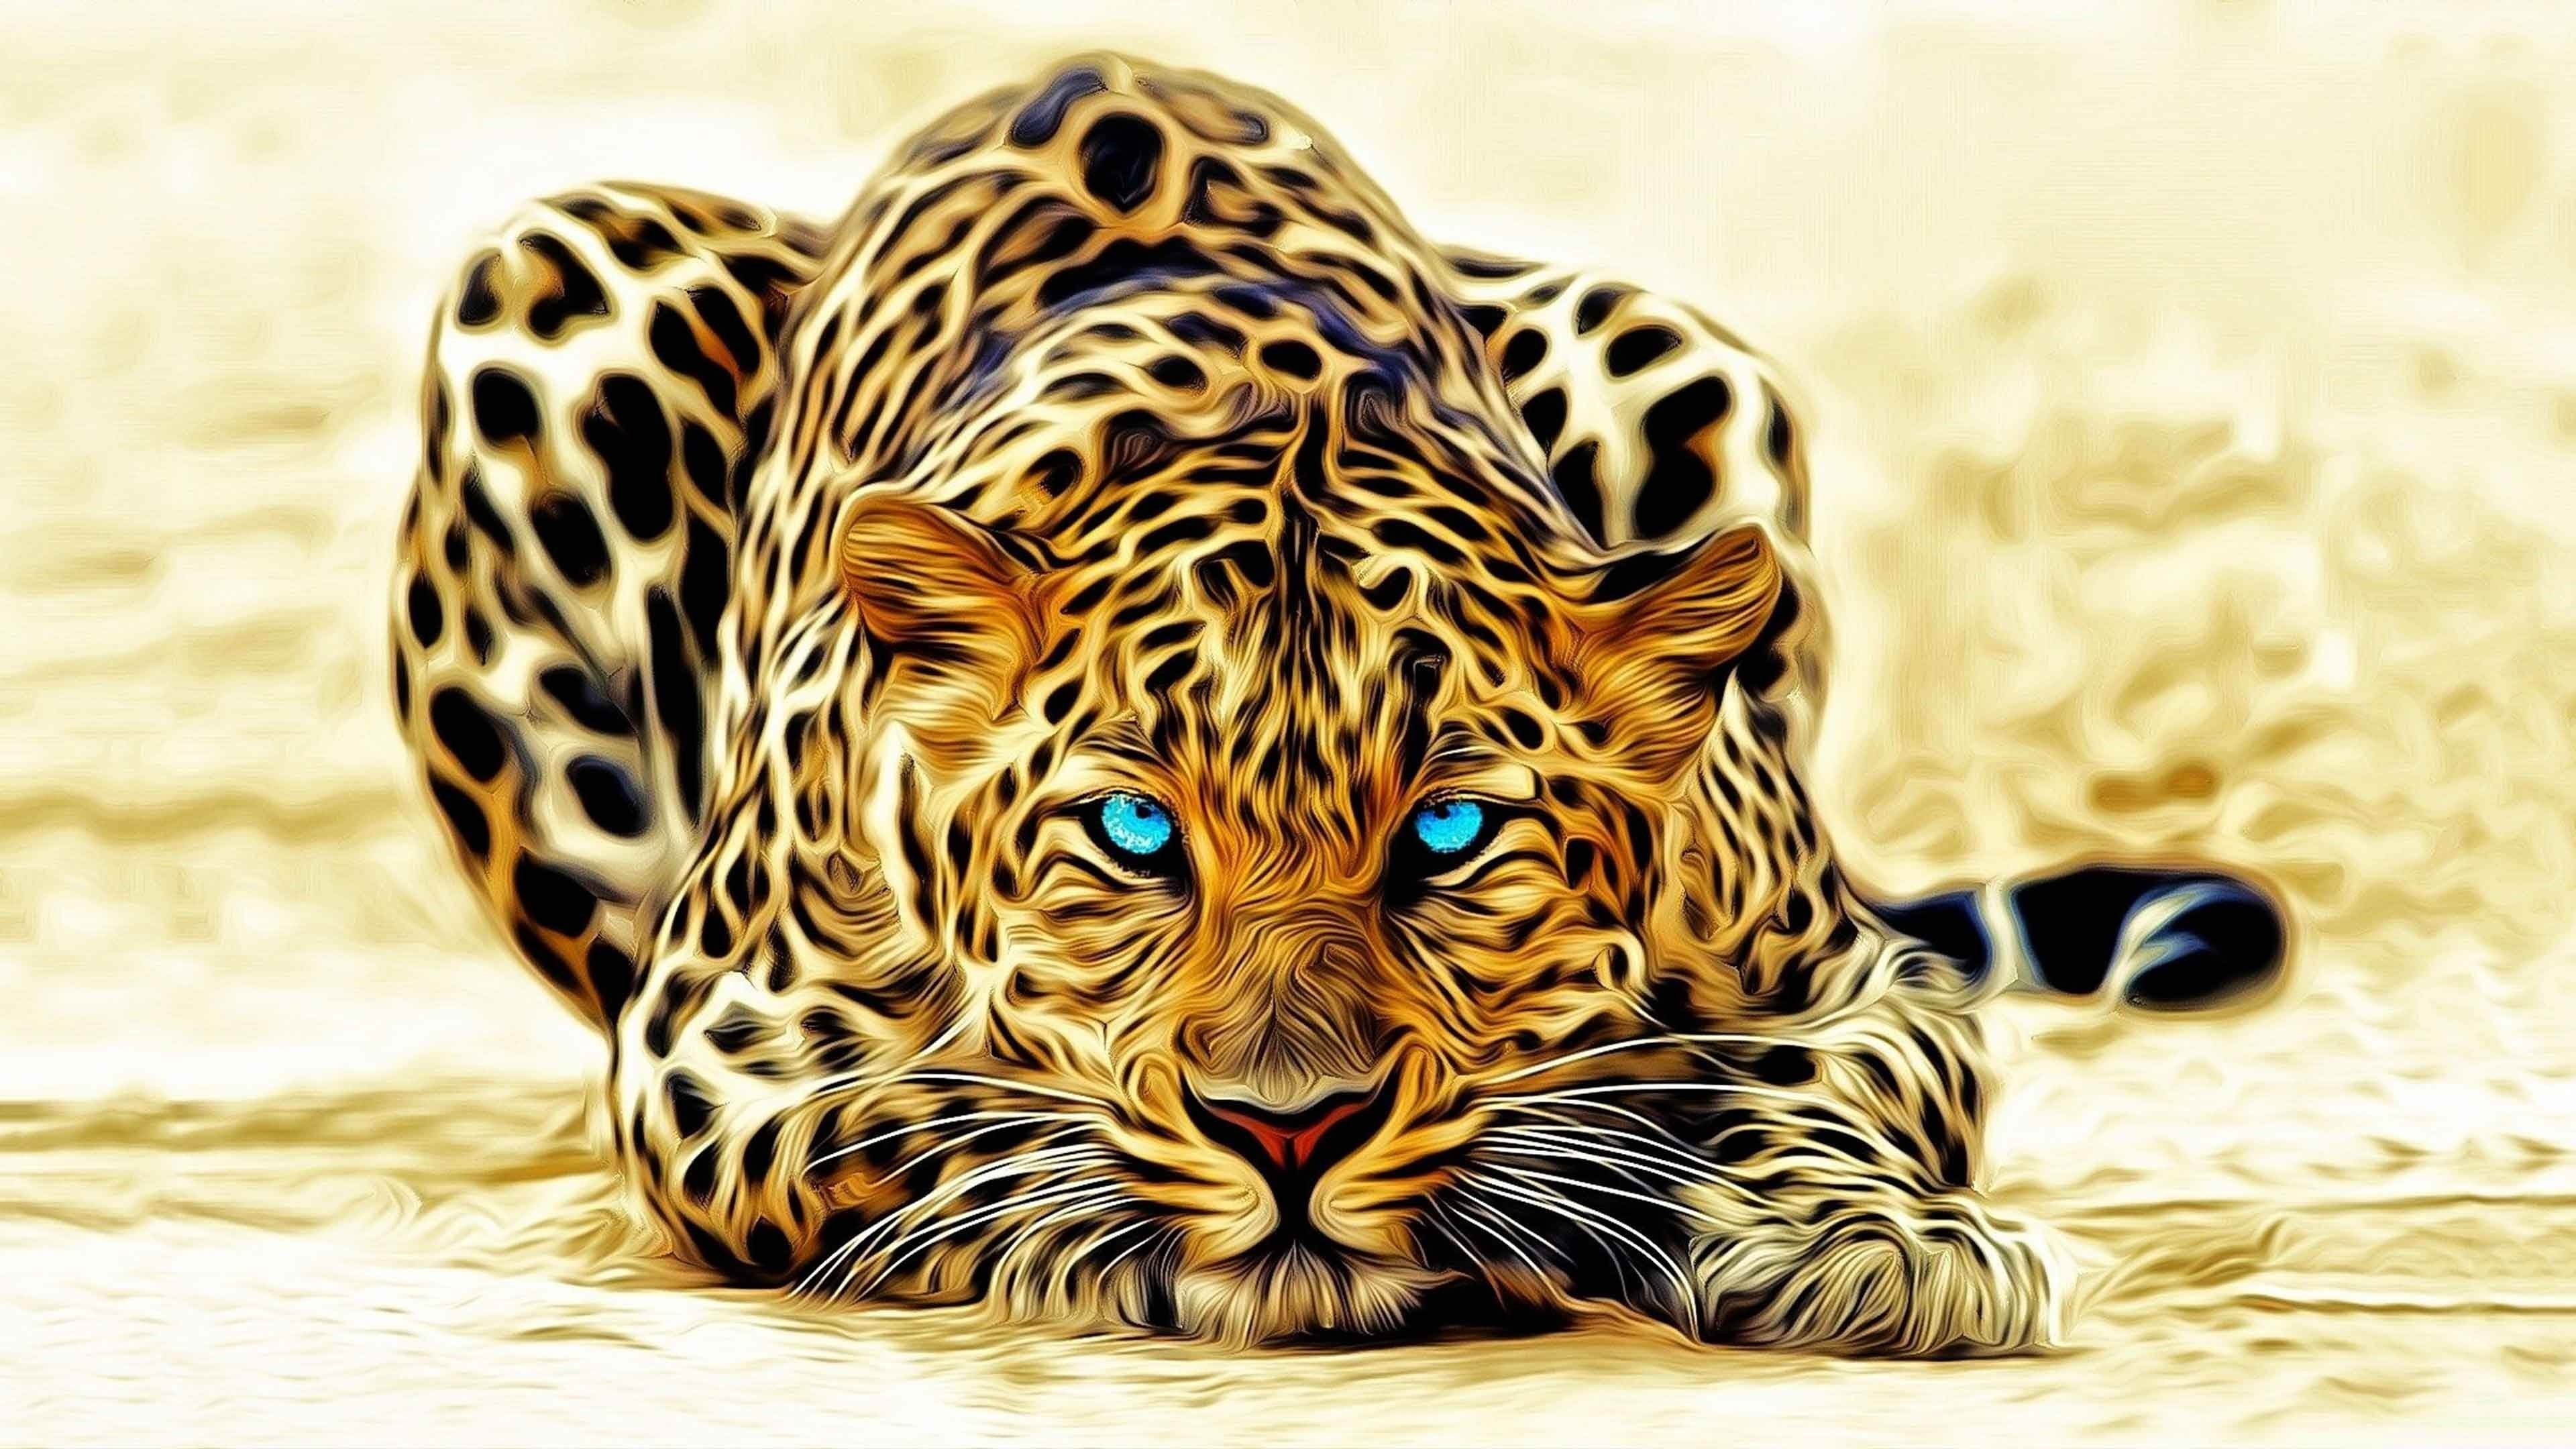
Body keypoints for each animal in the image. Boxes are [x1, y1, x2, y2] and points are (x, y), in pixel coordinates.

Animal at [390, 52, 2286, 1352]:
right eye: (1133, 830)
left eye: (1447, 831)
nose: (1287, 1128)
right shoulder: (714, 1039)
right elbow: (927, 1120)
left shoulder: (1851, 975)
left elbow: (1800, 1081)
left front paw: (1868, 1242)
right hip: (543, 282)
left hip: (1676, 347)